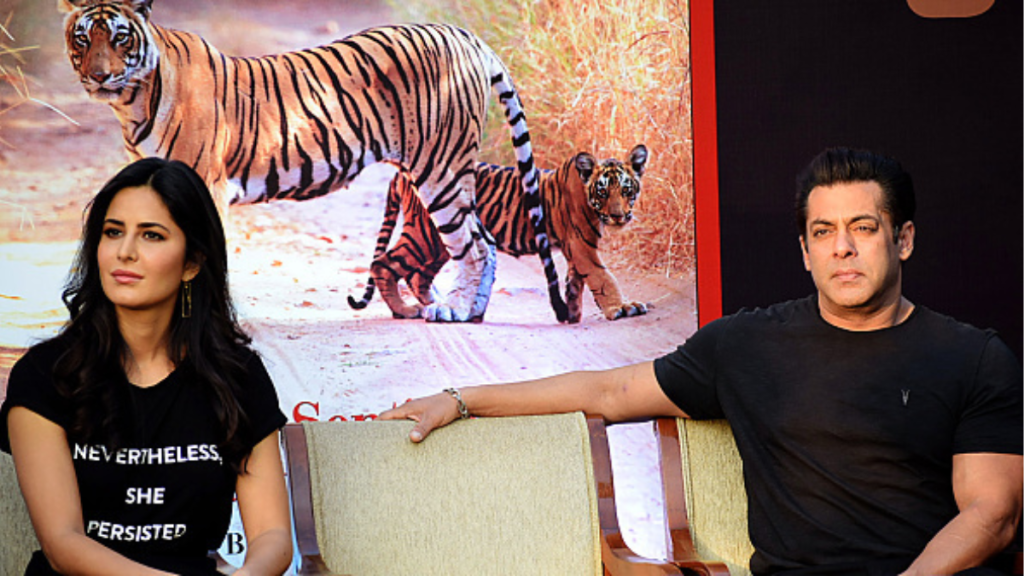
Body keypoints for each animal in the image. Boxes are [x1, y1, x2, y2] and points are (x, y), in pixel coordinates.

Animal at [58, 0, 569, 323]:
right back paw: (453, 311)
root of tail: (465, 35)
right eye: (82, 39)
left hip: (441, 168)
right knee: (479, 241)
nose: (98, 76)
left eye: (120, 39)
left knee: (475, 244)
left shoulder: (206, 185)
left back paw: (458, 311)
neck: (132, 102)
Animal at [352, 144, 647, 323]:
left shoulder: (577, 248)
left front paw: (573, 313)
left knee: (417, 275)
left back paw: (442, 306)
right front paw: (622, 308)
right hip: (424, 235)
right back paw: (405, 310)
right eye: (603, 191)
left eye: (626, 190)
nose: (619, 216)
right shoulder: (581, 245)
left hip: (440, 241)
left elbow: (577, 281)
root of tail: (402, 173)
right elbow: (603, 278)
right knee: (383, 264)